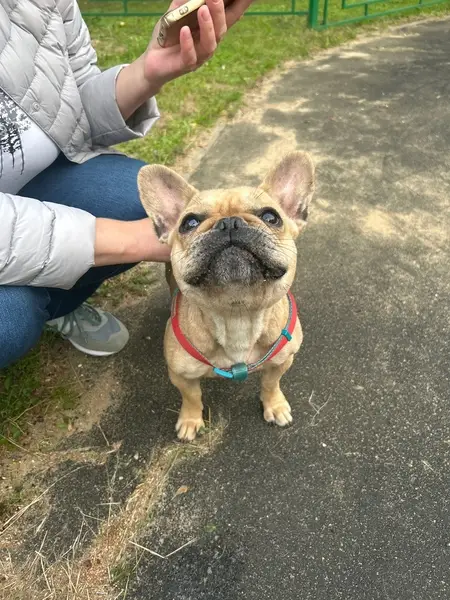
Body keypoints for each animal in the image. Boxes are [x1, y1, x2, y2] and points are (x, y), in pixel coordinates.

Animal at [137, 151, 315, 441]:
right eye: (189, 223)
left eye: (271, 217)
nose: (229, 222)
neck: (237, 314)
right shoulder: (181, 375)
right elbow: (192, 397)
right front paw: (190, 420)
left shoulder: (282, 361)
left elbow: (270, 384)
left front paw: (274, 405)